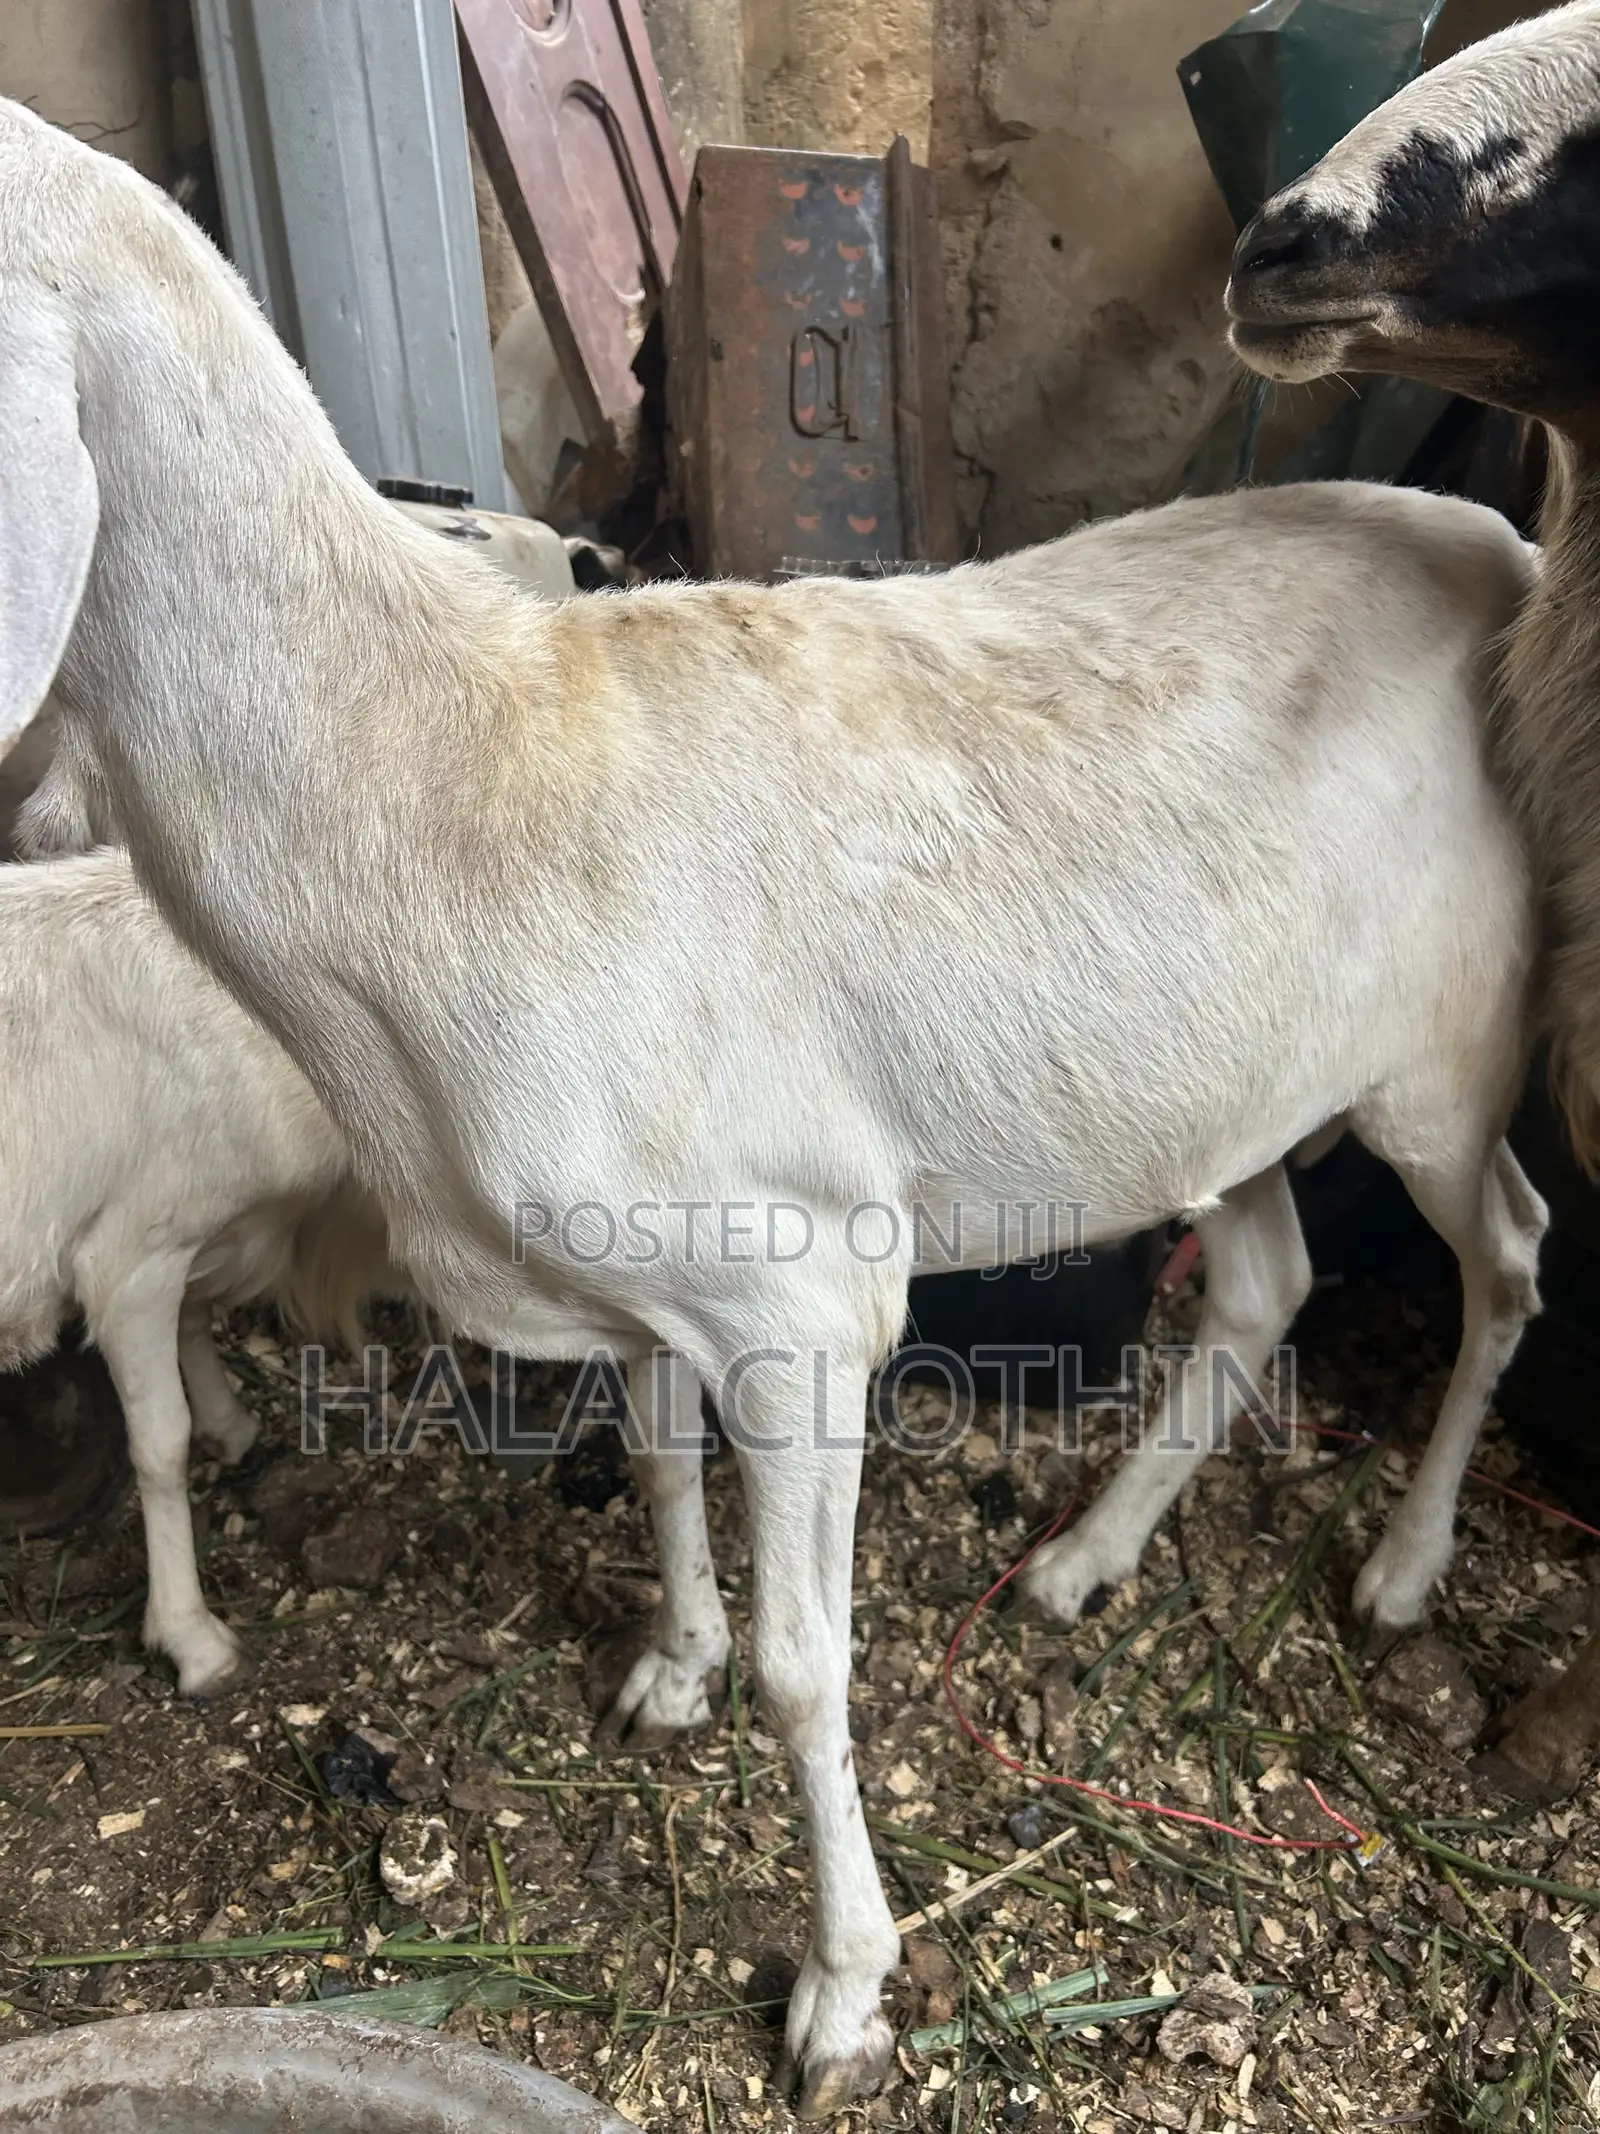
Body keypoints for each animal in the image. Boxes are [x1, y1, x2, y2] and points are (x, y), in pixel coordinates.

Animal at [0, 100, 1552, 2111]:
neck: (441, 771)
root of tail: (1501, 544)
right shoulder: (648, 1268)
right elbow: (663, 1464)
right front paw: (672, 1668)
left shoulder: (800, 1293)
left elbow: (818, 1668)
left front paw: (842, 1989)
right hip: (1221, 1071)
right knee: (1271, 1276)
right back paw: (1088, 1561)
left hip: (1447, 1046)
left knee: (1508, 1254)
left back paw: (1403, 1566)